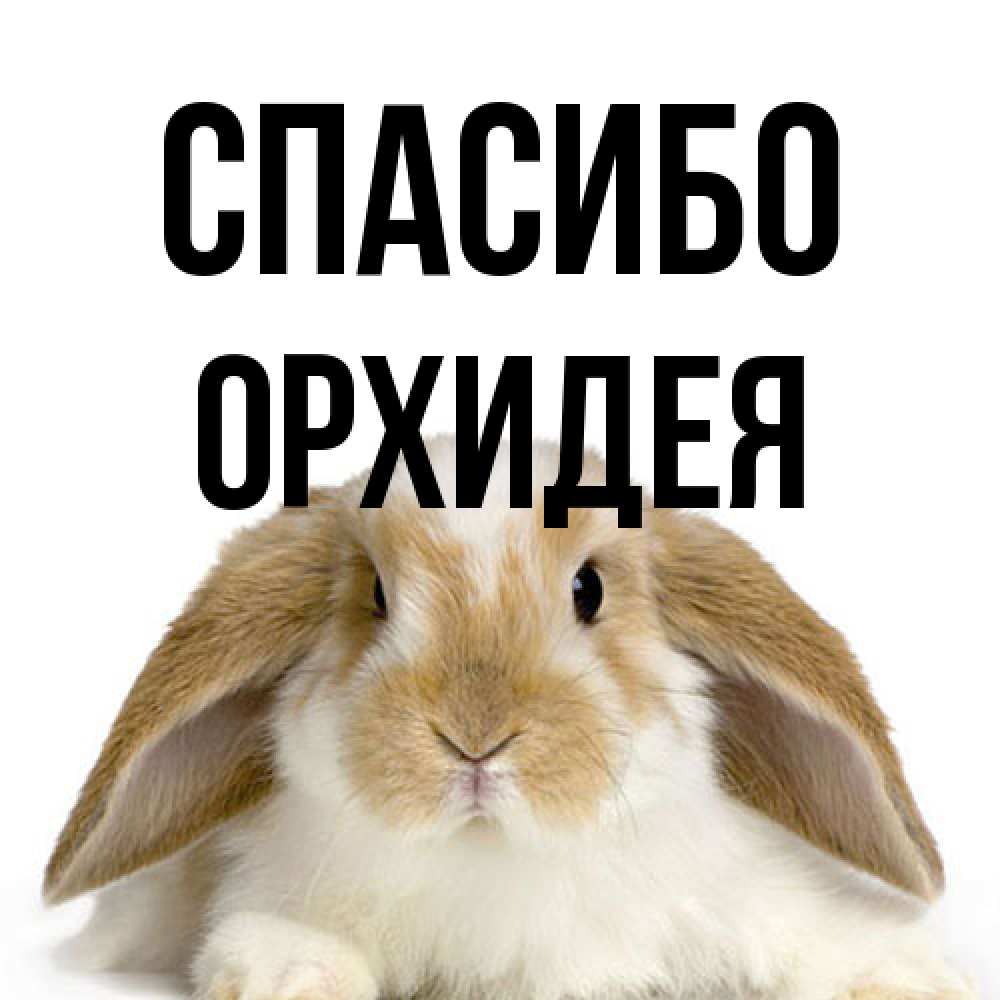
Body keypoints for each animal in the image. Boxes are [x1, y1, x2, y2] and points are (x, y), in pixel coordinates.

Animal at [45, 436, 975, 1000]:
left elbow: (817, 939)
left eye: (589, 588)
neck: (495, 857)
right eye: (376, 596)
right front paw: (290, 976)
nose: (475, 737)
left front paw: (909, 978)